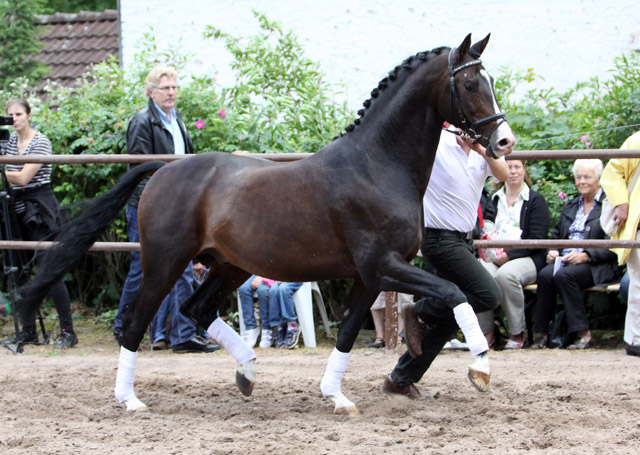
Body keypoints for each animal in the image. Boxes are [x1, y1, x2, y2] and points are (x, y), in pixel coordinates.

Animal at [20, 33, 516, 416]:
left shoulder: (369, 276)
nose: (504, 142)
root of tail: (162, 169)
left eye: (490, 81)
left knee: (196, 310)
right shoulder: (383, 266)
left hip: (227, 265)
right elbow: (453, 293)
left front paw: (336, 397)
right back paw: (130, 400)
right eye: (470, 82)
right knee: (136, 323)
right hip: (165, 262)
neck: (376, 165)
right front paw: (480, 369)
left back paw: (247, 373)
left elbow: (351, 332)